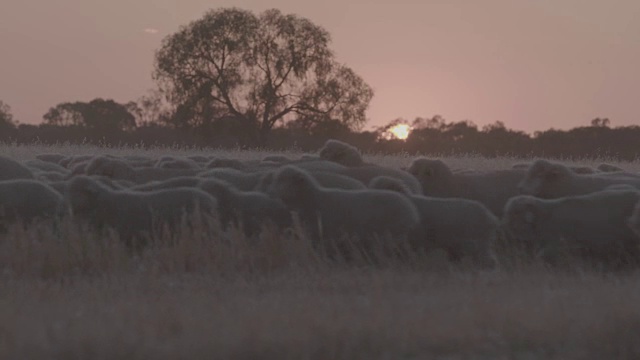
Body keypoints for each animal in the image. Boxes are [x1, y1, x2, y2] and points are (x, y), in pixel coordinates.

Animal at [502, 188, 640, 268]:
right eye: (507, 212)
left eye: (515, 213)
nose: (504, 227)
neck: (546, 217)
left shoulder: (557, 245)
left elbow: (541, 257)